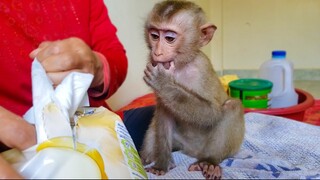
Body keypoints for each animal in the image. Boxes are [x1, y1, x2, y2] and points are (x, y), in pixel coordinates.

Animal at [141, 0, 245, 179]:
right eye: (154, 36)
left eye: (169, 38)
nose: (157, 52)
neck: (180, 66)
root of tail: (192, 152)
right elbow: (164, 113)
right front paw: (161, 164)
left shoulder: (201, 69)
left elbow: (211, 113)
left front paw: (163, 82)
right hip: (179, 142)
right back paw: (147, 159)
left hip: (218, 149)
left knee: (232, 106)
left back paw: (209, 162)